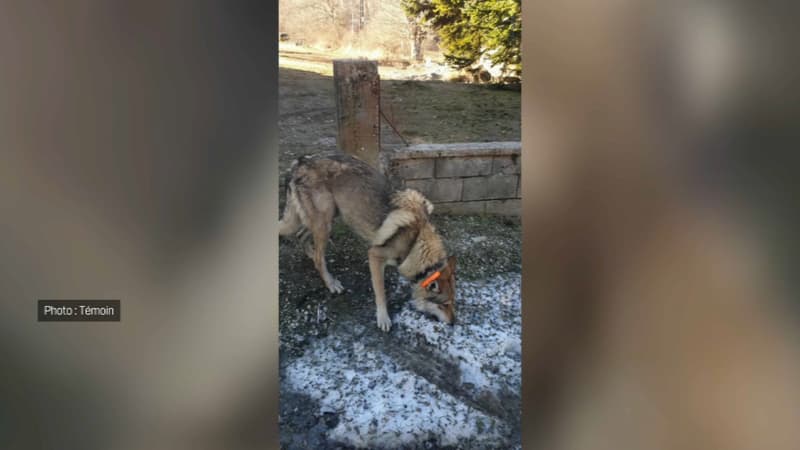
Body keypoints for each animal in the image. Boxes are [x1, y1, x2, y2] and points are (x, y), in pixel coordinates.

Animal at [280, 153, 456, 332]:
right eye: (445, 305)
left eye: (453, 303)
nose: (454, 323)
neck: (415, 242)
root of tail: (300, 162)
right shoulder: (375, 256)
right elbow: (381, 293)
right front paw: (383, 318)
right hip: (324, 224)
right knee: (318, 258)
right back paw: (331, 282)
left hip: (328, 218)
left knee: (303, 238)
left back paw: (311, 252)